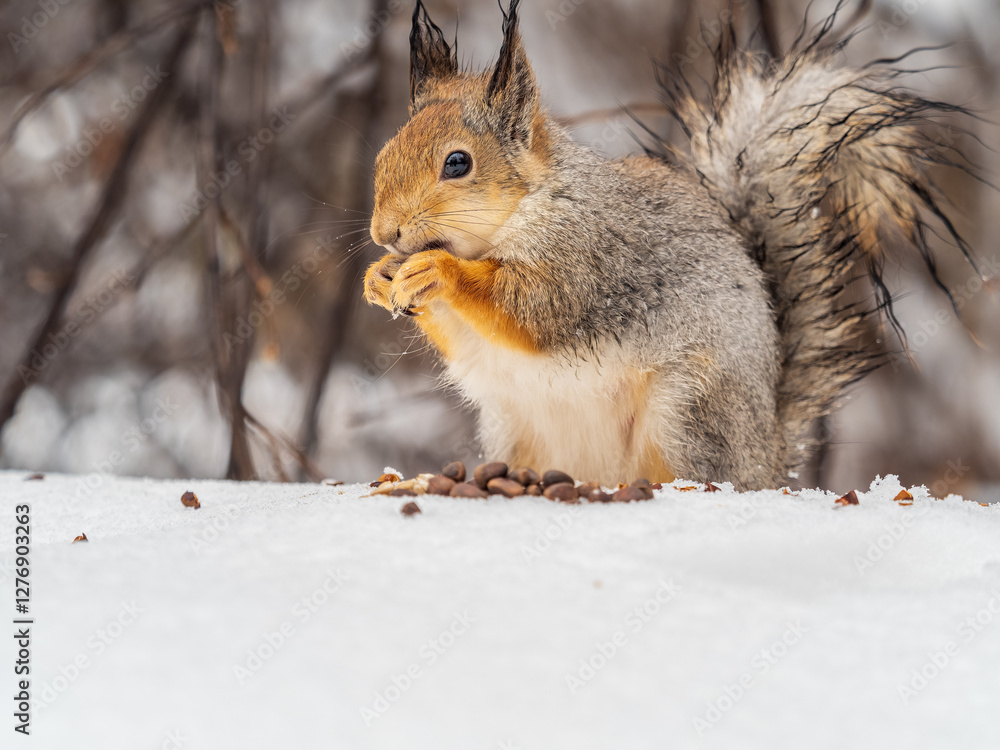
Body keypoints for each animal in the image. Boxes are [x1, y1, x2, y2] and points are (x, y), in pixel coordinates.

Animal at [362, 0, 981, 490]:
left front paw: (438, 271)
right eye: (384, 152)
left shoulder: (587, 258)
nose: (384, 233)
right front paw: (379, 277)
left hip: (686, 410)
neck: (521, 210)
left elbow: (533, 310)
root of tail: (767, 457)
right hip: (514, 430)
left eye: (457, 163)